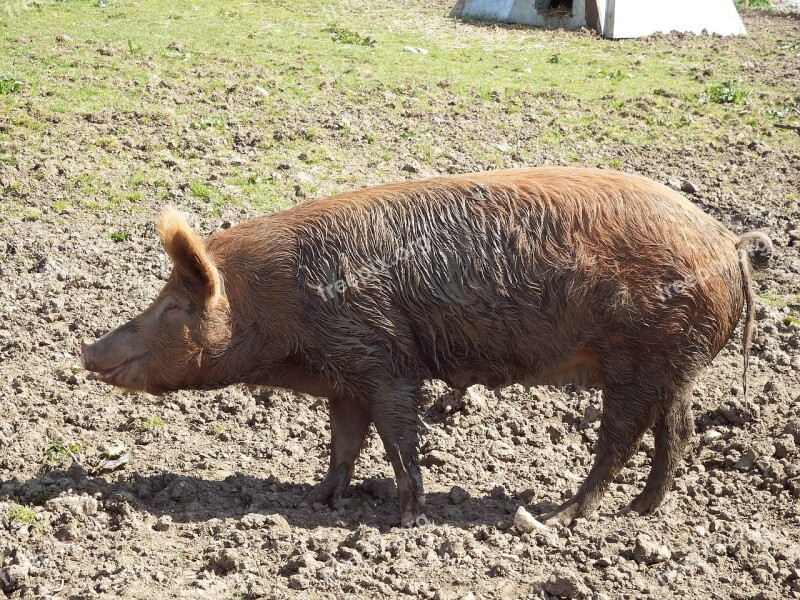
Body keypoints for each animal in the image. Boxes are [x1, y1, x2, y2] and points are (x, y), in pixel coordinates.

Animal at [79, 166, 768, 528]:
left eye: (173, 306)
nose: (87, 350)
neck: (278, 306)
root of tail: (728, 243)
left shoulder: (381, 358)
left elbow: (396, 436)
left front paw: (406, 518)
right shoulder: (347, 374)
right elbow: (343, 443)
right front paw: (314, 500)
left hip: (640, 356)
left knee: (623, 437)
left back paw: (563, 514)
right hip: (675, 366)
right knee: (678, 431)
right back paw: (642, 512)